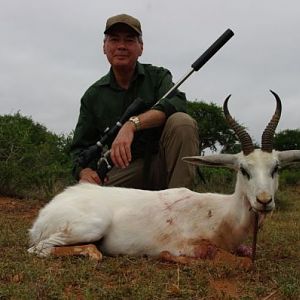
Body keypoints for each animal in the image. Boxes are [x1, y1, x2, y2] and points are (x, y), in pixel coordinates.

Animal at [28, 89, 300, 268]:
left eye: (275, 168)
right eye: (243, 169)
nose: (264, 201)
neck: (223, 215)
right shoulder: (192, 245)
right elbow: (239, 262)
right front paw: (167, 257)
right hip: (92, 225)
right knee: (38, 249)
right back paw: (92, 253)